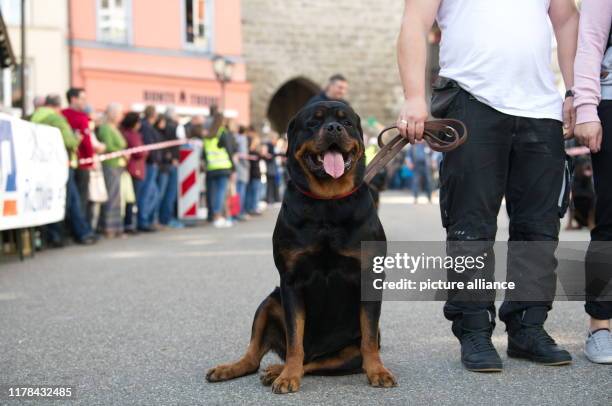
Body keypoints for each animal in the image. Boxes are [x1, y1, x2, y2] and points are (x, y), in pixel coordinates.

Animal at [207, 100, 396, 394]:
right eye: (313, 122)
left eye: (347, 122)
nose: (334, 127)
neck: (328, 202)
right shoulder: (291, 281)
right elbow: (296, 338)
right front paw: (288, 377)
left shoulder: (369, 275)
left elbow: (368, 338)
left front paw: (378, 370)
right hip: (269, 302)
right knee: (259, 356)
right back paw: (241, 369)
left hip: (347, 352)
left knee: (319, 361)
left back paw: (275, 370)